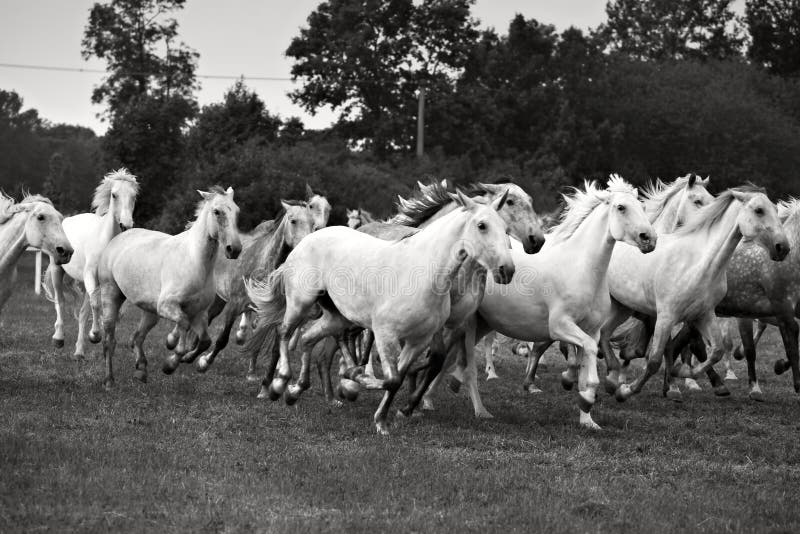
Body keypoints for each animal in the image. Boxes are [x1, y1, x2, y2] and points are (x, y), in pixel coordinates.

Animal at [45, 170, 138, 358]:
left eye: (134, 196)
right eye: (114, 195)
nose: (126, 225)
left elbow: (109, 310)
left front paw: (98, 335)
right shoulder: (90, 275)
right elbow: (96, 304)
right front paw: (95, 335)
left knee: (82, 313)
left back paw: (79, 352)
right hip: (57, 270)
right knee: (60, 301)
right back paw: (58, 338)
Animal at [97, 188, 241, 390]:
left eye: (237, 211)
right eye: (217, 211)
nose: (234, 249)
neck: (196, 262)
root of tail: (117, 238)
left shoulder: (200, 313)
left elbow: (205, 341)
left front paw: (181, 360)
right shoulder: (167, 306)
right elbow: (183, 327)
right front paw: (170, 362)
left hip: (150, 312)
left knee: (137, 337)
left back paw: (141, 371)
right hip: (111, 295)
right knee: (109, 340)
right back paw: (109, 381)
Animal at [247, 193, 516, 436]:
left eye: (505, 229)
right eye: (482, 225)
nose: (508, 270)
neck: (423, 273)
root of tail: (307, 240)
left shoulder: (418, 342)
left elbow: (399, 378)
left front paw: (381, 421)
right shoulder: (386, 335)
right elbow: (391, 378)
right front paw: (354, 383)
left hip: (337, 317)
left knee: (307, 339)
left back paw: (295, 391)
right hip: (301, 303)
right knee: (284, 332)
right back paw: (278, 384)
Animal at [468, 177, 656, 432]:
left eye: (642, 207)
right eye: (621, 207)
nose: (650, 239)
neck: (581, 270)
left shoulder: (592, 330)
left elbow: (585, 369)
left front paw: (588, 419)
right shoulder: (560, 326)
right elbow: (585, 356)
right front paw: (579, 390)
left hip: (481, 323)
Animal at [600, 186, 788, 404]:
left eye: (776, 209)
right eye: (759, 210)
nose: (783, 248)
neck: (697, 264)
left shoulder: (703, 314)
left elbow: (715, 351)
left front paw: (682, 373)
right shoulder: (666, 317)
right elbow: (655, 359)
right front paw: (626, 391)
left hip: (622, 306)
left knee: (604, 333)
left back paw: (611, 380)